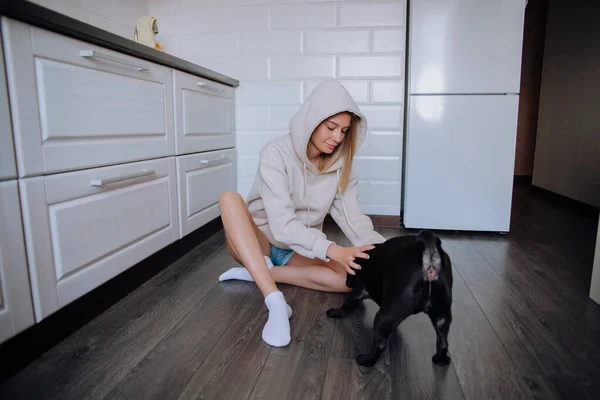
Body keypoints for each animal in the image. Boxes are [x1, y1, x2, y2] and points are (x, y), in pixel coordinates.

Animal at [326, 230, 452, 368]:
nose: (347, 283)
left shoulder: (358, 291)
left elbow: (346, 305)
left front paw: (335, 312)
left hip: (384, 315)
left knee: (380, 344)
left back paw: (366, 360)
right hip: (441, 316)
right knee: (443, 342)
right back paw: (440, 359)